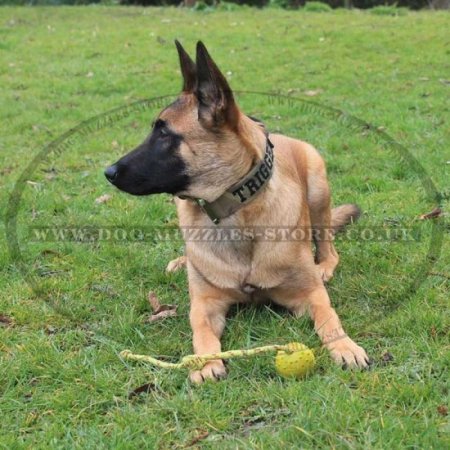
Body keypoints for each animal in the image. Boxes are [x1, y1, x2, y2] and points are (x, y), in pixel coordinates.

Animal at [105, 40, 370, 384]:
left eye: (164, 134)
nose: (108, 172)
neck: (235, 215)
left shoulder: (309, 294)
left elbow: (329, 317)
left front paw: (345, 346)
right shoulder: (205, 304)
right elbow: (202, 332)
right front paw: (205, 363)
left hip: (317, 187)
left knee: (328, 245)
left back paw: (324, 264)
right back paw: (182, 261)